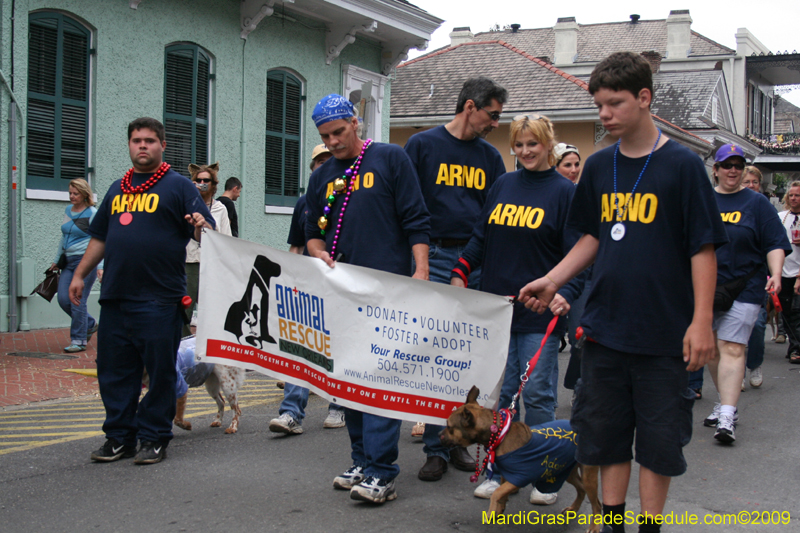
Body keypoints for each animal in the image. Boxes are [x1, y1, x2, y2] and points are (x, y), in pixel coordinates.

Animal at [444, 386, 600, 532]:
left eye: (449, 427)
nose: (440, 436)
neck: (500, 435)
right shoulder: (507, 476)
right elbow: (501, 494)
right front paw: (498, 510)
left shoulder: (519, 477)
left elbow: (497, 493)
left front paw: (491, 512)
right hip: (568, 470)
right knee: (581, 489)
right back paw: (573, 509)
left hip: (588, 476)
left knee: (597, 504)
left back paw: (594, 526)